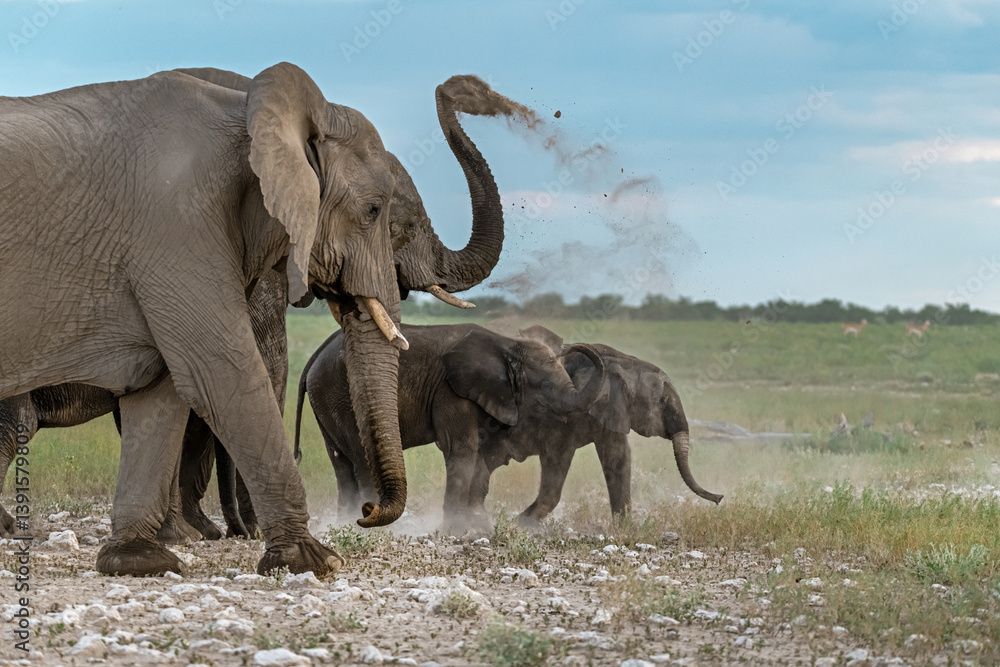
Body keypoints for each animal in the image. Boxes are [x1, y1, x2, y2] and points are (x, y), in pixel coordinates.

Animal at [0, 64, 514, 576]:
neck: (254, 111)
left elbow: (162, 389)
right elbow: (222, 372)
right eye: (378, 214)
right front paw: (313, 560)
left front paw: (141, 560)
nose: (368, 513)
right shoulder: (180, 228)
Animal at [295, 324, 722, 528]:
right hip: (341, 393)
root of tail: (314, 357)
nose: (719, 499)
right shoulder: (454, 392)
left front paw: (625, 529)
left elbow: (615, 459)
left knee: (342, 463)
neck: (505, 347)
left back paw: (348, 521)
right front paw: (477, 527)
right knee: (361, 460)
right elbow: (467, 451)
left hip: (327, 400)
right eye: (664, 401)